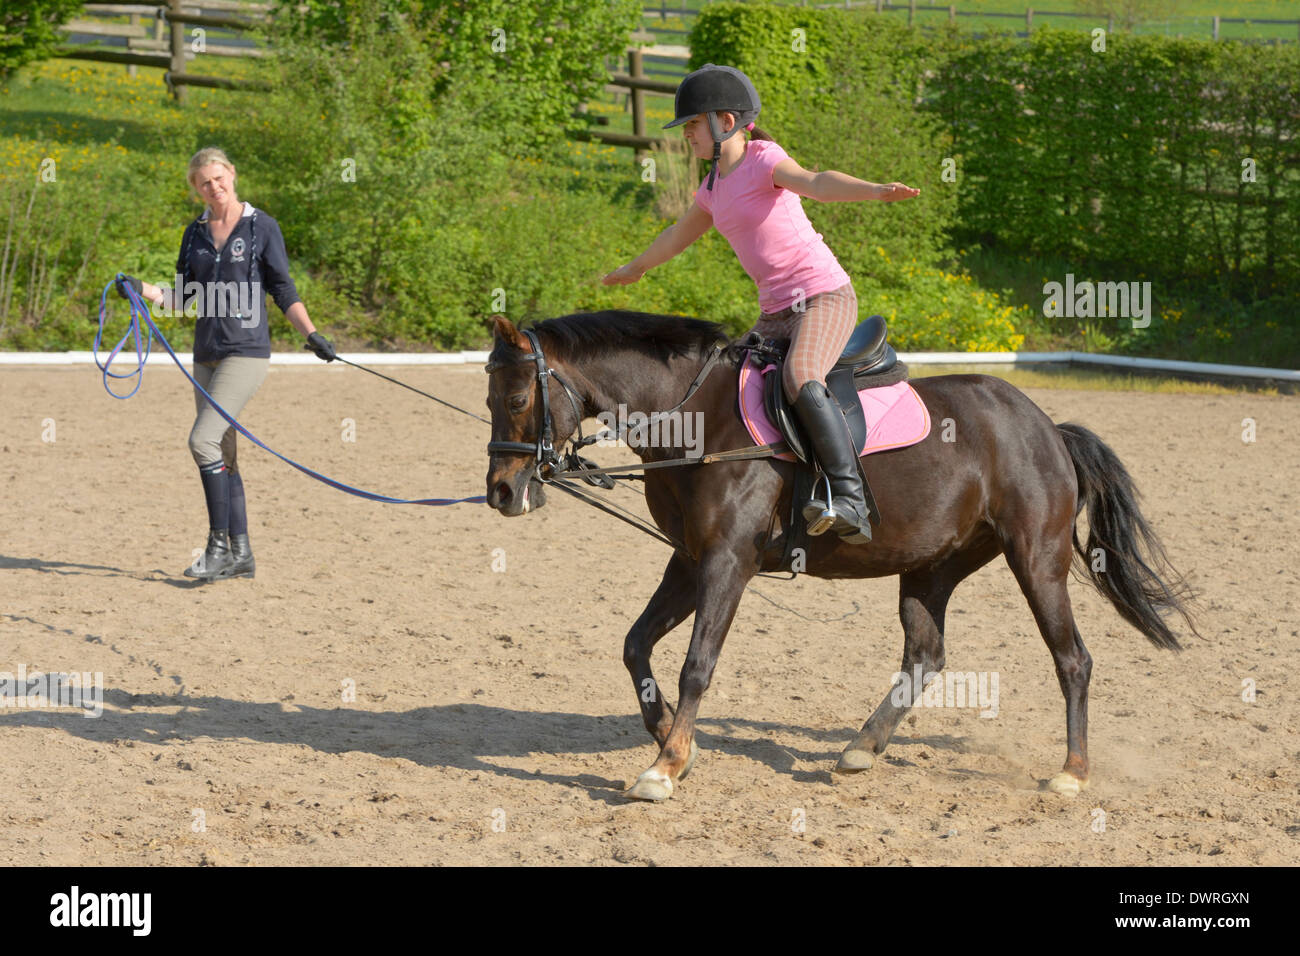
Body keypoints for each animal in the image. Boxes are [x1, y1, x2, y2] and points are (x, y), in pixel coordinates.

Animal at [484, 310, 1196, 802]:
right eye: (490, 400)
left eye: (517, 400)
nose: (501, 493)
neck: (696, 418)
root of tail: (1046, 424)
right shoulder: (687, 560)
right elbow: (636, 646)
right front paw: (669, 739)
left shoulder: (726, 562)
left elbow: (696, 664)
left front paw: (664, 767)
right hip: (931, 566)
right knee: (925, 655)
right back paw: (861, 749)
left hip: (1035, 557)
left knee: (1072, 659)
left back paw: (1071, 773)